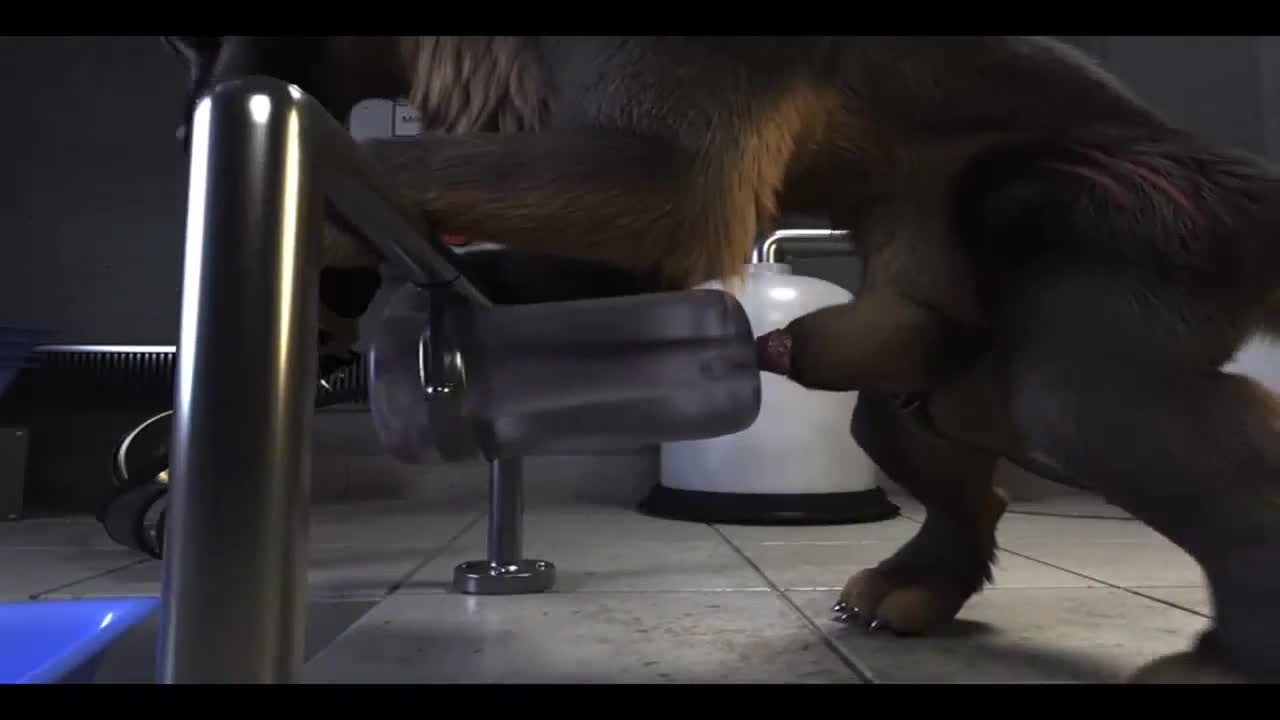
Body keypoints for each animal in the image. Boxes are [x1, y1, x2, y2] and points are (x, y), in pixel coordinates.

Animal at [162, 36, 1280, 683]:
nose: (186, 117)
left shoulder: (662, 162)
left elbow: (434, 163)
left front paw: (328, 246)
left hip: (1119, 250)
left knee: (1102, 412)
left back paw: (1229, 656)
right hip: (925, 366)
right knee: (946, 457)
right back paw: (913, 586)